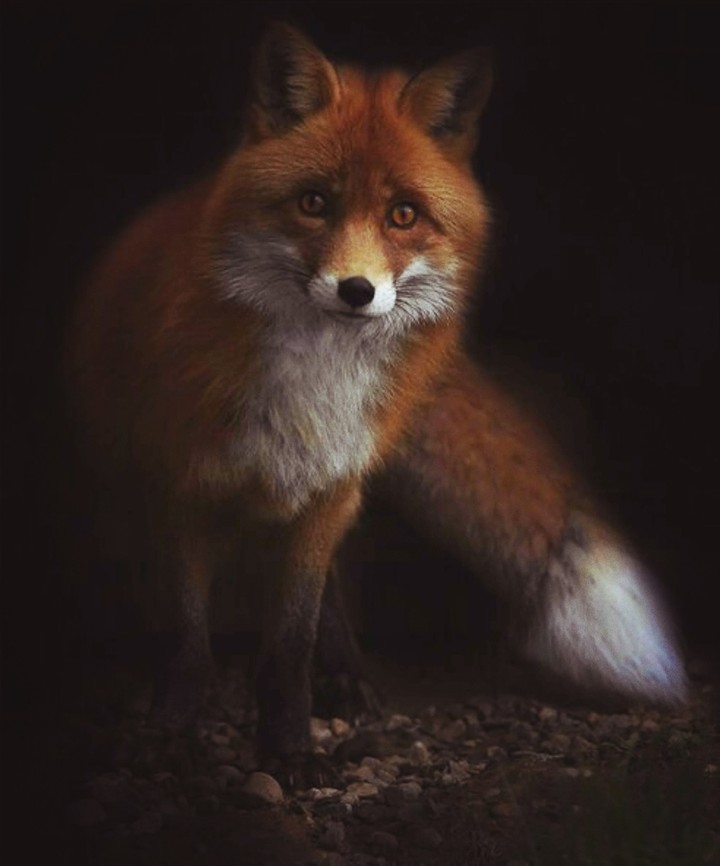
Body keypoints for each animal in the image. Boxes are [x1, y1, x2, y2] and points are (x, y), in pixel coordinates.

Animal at [66, 23, 687, 789]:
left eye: (403, 215)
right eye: (313, 203)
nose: (356, 290)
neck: (308, 387)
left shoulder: (325, 491)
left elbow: (291, 646)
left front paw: (289, 749)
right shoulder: (181, 490)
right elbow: (186, 646)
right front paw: (167, 739)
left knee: (326, 603)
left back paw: (346, 677)